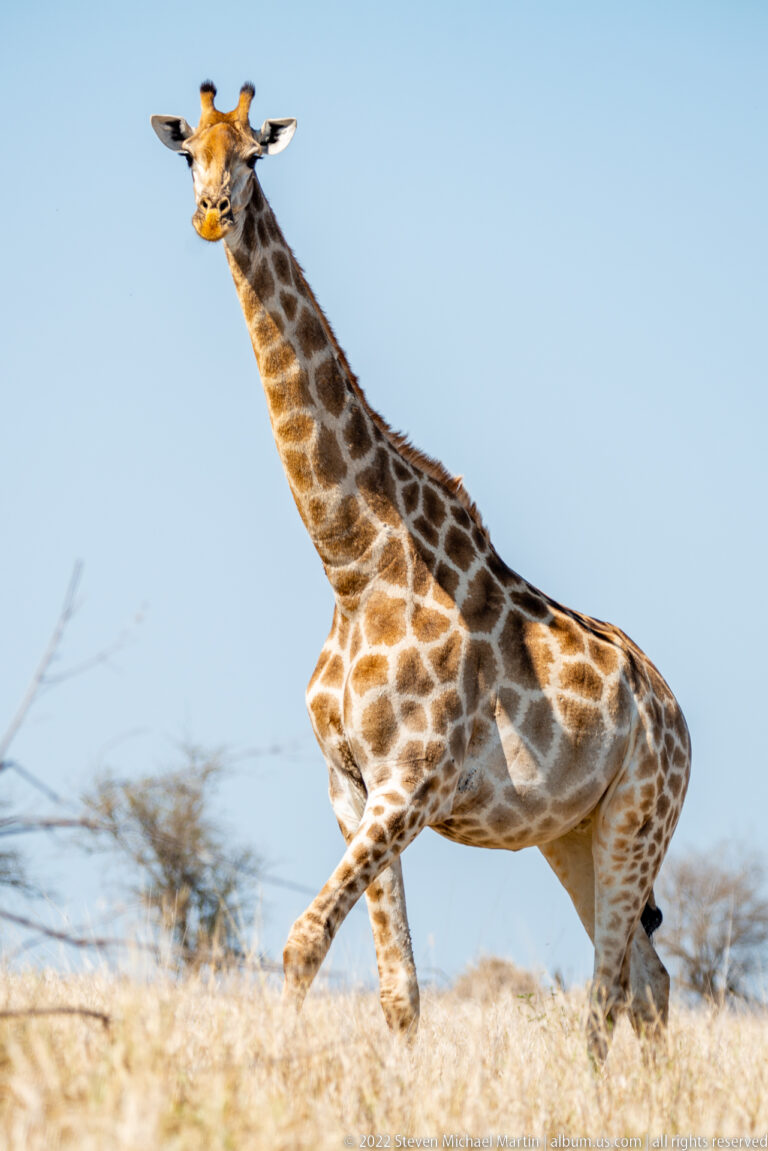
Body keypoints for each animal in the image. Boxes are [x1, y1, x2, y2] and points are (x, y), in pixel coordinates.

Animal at [152, 82, 691, 1062]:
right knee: (649, 977)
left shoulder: (414, 780)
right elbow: (398, 990)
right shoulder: (352, 785)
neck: (354, 565)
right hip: (576, 833)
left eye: (251, 155)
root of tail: (675, 713)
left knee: (608, 989)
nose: (212, 213)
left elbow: (303, 942)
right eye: (188, 155)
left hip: (641, 814)